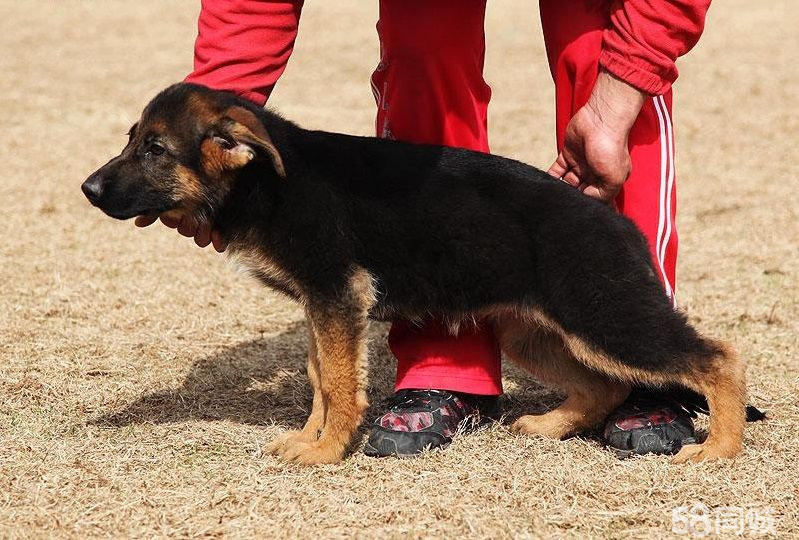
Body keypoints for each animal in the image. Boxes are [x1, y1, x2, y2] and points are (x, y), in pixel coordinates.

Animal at [81, 83, 756, 464]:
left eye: (155, 150)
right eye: (132, 141)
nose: (87, 189)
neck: (266, 181)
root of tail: (615, 223)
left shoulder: (337, 297)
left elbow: (340, 385)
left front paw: (327, 452)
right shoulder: (322, 306)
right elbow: (322, 378)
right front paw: (310, 438)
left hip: (606, 317)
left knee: (717, 357)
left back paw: (718, 449)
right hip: (536, 332)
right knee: (604, 386)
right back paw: (549, 425)